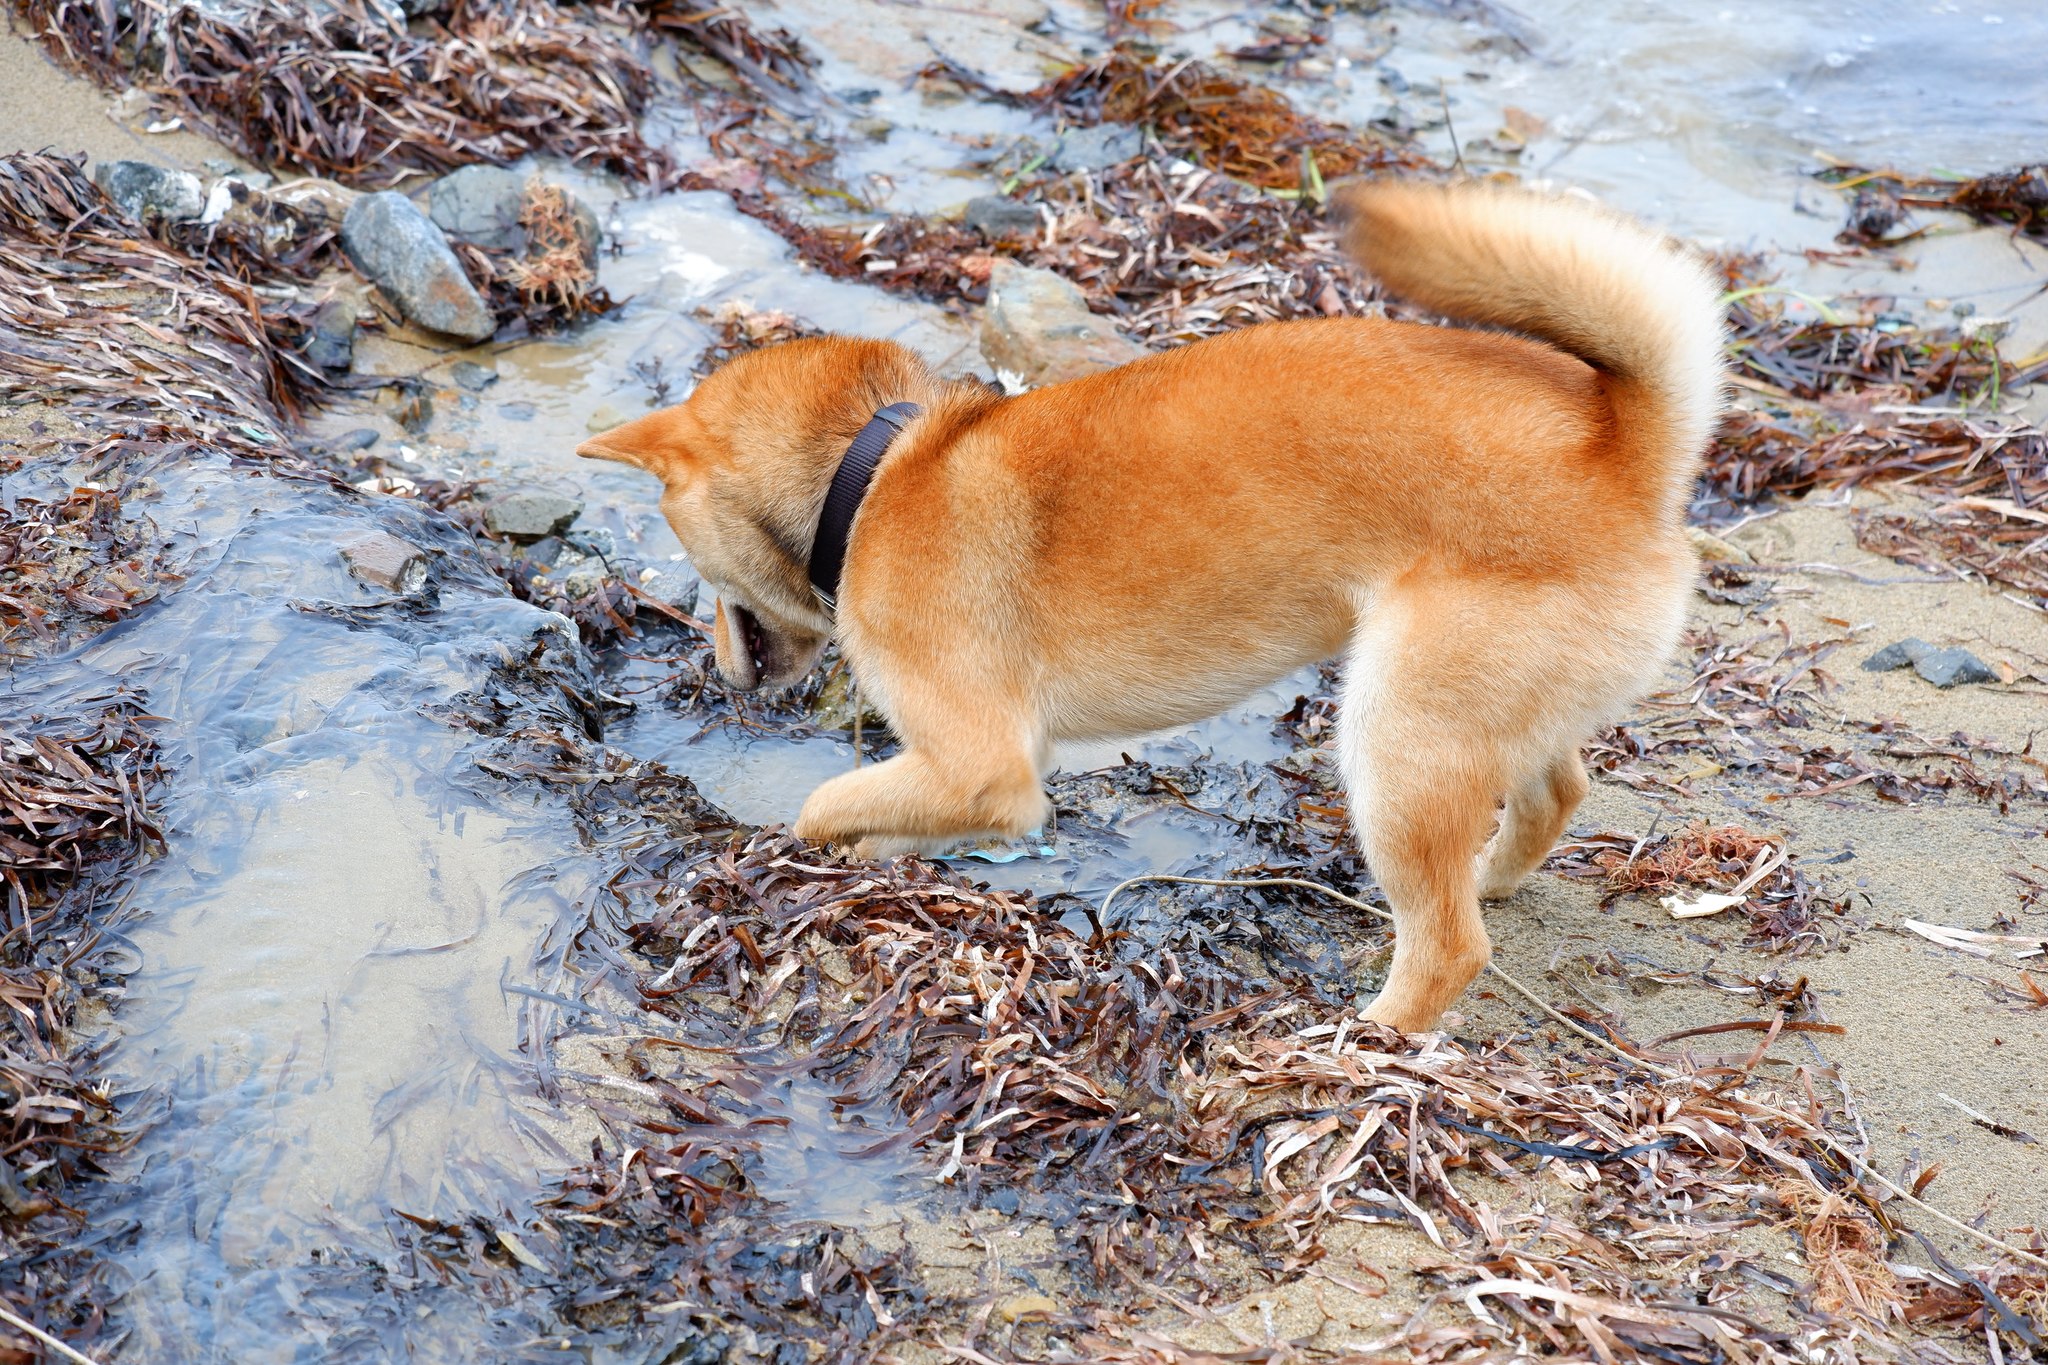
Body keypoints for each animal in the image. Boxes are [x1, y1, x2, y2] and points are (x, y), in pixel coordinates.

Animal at [581, 184, 1728, 1035]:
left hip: (1399, 738)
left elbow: (825, 805)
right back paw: (1489, 878)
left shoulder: (985, 769)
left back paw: (1361, 1046)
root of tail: (1624, 449)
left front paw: (833, 850)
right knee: (1552, 797)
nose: (716, 667)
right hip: (1491, 714)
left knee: (1448, 947)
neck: (879, 470)